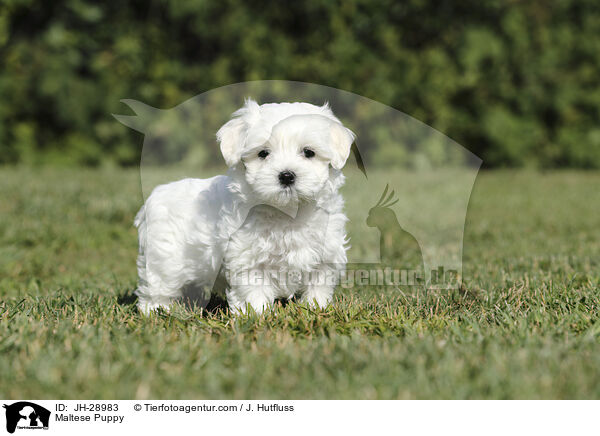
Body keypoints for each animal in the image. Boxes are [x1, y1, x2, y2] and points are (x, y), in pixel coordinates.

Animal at [134, 99, 354, 314]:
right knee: (157, 287)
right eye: (263, 153)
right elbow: (254, 293)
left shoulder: (325, 257)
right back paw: (157, 311)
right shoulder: (249, 261)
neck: (287, 214)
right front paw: (257, 316)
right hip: (164, 260)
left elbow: (318, 287)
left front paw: (316, 308)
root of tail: (155, 196)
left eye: (309, 152)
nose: (286, 175)